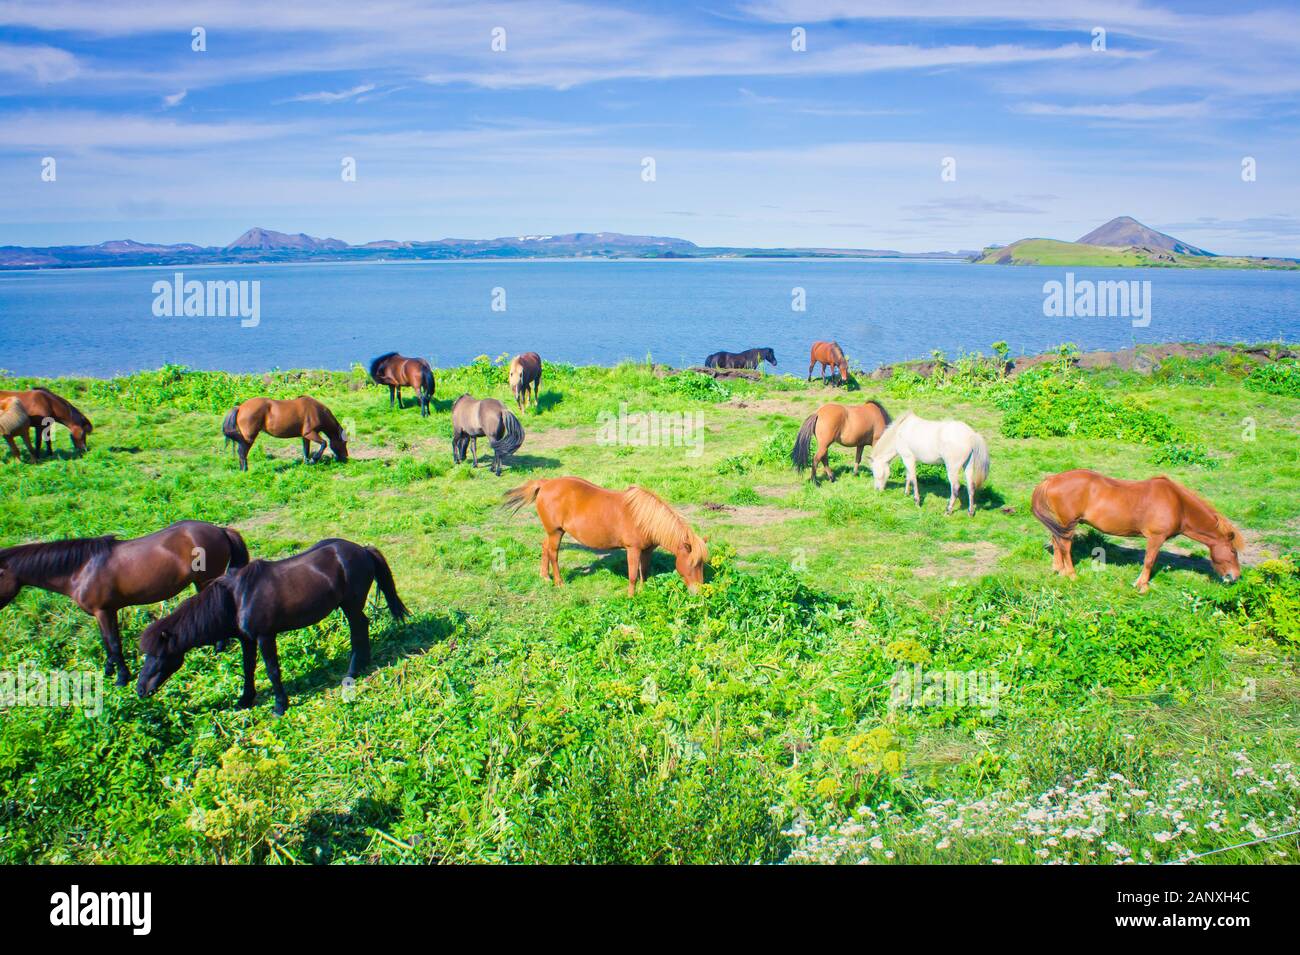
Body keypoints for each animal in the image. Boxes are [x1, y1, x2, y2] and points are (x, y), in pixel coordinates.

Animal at [0, 521, 249, 686]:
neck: (81, 569)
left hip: (206, 580)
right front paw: (109, 671)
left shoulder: (105, 611)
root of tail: (220, 530)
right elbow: (106, 643)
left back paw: (219, 647)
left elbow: (113, 643)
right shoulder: (101, 613)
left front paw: (121, 677)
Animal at [136, 539, 408, 714]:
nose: (140, 689)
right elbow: (248, 669)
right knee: (362, 627)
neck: (237, 599)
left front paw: (279, 705)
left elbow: (272, 670)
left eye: (159, 655)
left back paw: (352, 670)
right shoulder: (247, 639)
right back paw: (364, 662)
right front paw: (244, 700)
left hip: (350, 604)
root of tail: (363, 550)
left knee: (358, 628)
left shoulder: (265, 636)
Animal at [504, 477, 708, 596]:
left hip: (553, 532)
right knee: (553, 554)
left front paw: (643, 591)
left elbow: (645, 572)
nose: (699, 592)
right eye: (693, 564)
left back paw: (545, 576)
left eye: (701, 564)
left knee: (545, 547)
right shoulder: (632, 550)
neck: (645, 518)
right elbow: (633, 575)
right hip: (556, 532)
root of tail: (545, 483)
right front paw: (631, 597)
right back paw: (559, 582)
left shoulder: (646, 550)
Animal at [1032, 469, 1243, 593]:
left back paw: (1058, 569)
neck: (1178, 504)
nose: (1235, 577)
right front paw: (1142, 585)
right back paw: (1071, 574)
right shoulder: (1156, 538)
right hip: (1068, 523)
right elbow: (1149, 561)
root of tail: (1052, 479)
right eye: (1233, 551)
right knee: (1065, 546)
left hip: (1060, 524)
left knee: (1057, 542)